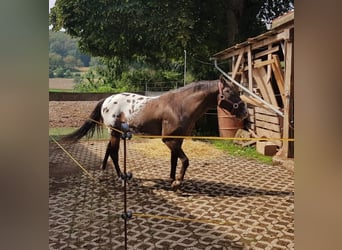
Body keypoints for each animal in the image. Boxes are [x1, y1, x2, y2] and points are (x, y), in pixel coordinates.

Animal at [62, 76, 248, 189]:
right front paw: (178, 183)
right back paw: (121, 178)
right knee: (114, 153)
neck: (179, 106)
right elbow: (185, 160)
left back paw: (104, 174)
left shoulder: (177, 140)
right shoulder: (168, 140)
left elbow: (174, 160)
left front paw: (172, 180)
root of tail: (107, 100)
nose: (245, 113)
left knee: (108, 151)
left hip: (115, 133)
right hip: (115, 133)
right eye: (229, 92)